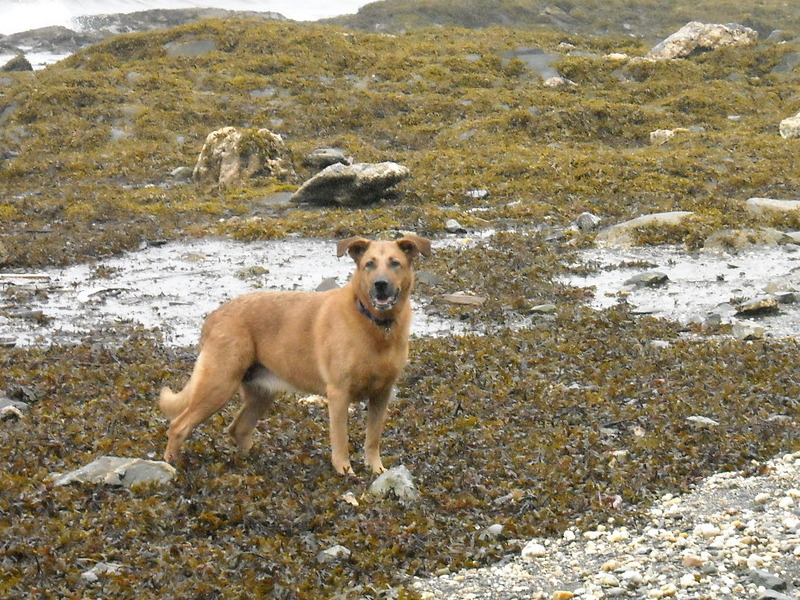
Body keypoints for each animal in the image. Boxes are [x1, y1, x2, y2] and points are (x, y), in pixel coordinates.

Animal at [158, 233, 432, 474]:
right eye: (369, 264)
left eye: (395, 263)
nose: (380, 285)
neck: (375, 325)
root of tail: (214, 316)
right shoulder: (338, 394)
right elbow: (341, 439)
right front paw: (344, 471)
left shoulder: (382, 394)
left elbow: (372, 439)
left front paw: (375, 468)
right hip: (218, 385)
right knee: (178, 426)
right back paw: (172, 465)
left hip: (261, 393)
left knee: (238, 429)